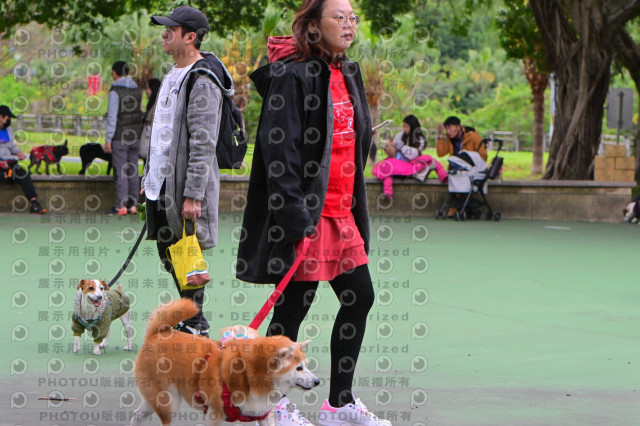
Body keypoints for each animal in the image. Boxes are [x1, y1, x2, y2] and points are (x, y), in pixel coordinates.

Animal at [130, 299, 319, 426]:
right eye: (299, 368)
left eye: (306, 366)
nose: (317, 381)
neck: (249, 376)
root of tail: (156, 334)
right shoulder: (214, 415)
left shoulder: (264, 415)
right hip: (169, 402)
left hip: (154, 399)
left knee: (135, 415)